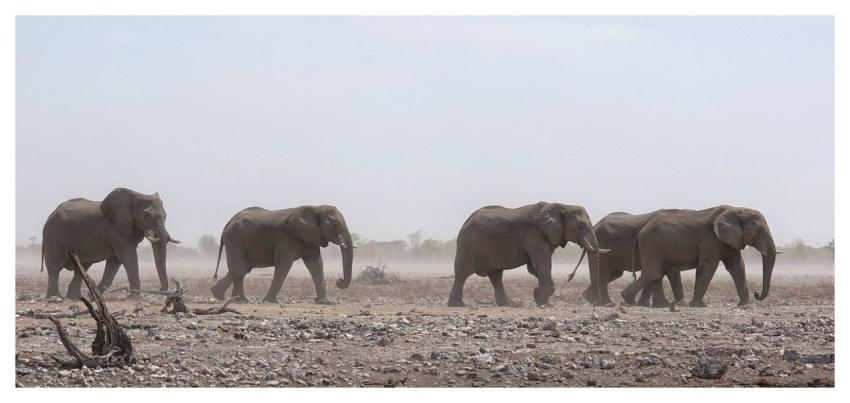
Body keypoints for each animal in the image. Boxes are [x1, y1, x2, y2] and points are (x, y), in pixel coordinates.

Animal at [41, 188, 179, 298]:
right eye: (145, 217)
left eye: (165, 216)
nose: (160, 290)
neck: (136, 195)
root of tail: (50, 215)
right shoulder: (117, 230)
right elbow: (128, 258)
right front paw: (135, 297)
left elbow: (115, 262)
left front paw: (93, 296)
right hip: (53, 236)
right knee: (54, 268)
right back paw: (55, 297)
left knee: (82, 268)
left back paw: (75, 297)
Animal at [210, 205, 354, 304]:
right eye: (334, 225)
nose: (339, 281)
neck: (316, 207)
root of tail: (228, 223)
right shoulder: (286, 237)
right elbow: (284, 264)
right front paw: (270, 301)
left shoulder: (311, 238)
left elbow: (316, 264)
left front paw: (325, 302)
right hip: (235, 240)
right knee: (240, 268)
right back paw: (219, 295)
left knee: (241, 269)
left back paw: (239, 300)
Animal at [448, 202, 608, 307]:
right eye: (581, 227)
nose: (595, 303)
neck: (563, 205)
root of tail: (466, 222)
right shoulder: (535, 235)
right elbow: (543, 264)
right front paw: (543, 303)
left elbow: (534, 267)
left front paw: (538, 297)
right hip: (468, 245)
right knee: (462, 274)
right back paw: (458, 305)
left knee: (496, 276)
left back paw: (508, 304)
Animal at [620, 205, 777, 307]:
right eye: (759, 230)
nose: (757, 294)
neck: (736, 209)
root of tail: (641, 230)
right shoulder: (710, 238)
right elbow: (708, 266)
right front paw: (699, 305)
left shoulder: (730, 241)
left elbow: (737, 267)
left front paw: (745, 305)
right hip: (652, 244)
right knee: (654, 272)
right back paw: (628, 299)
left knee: (656, 273)